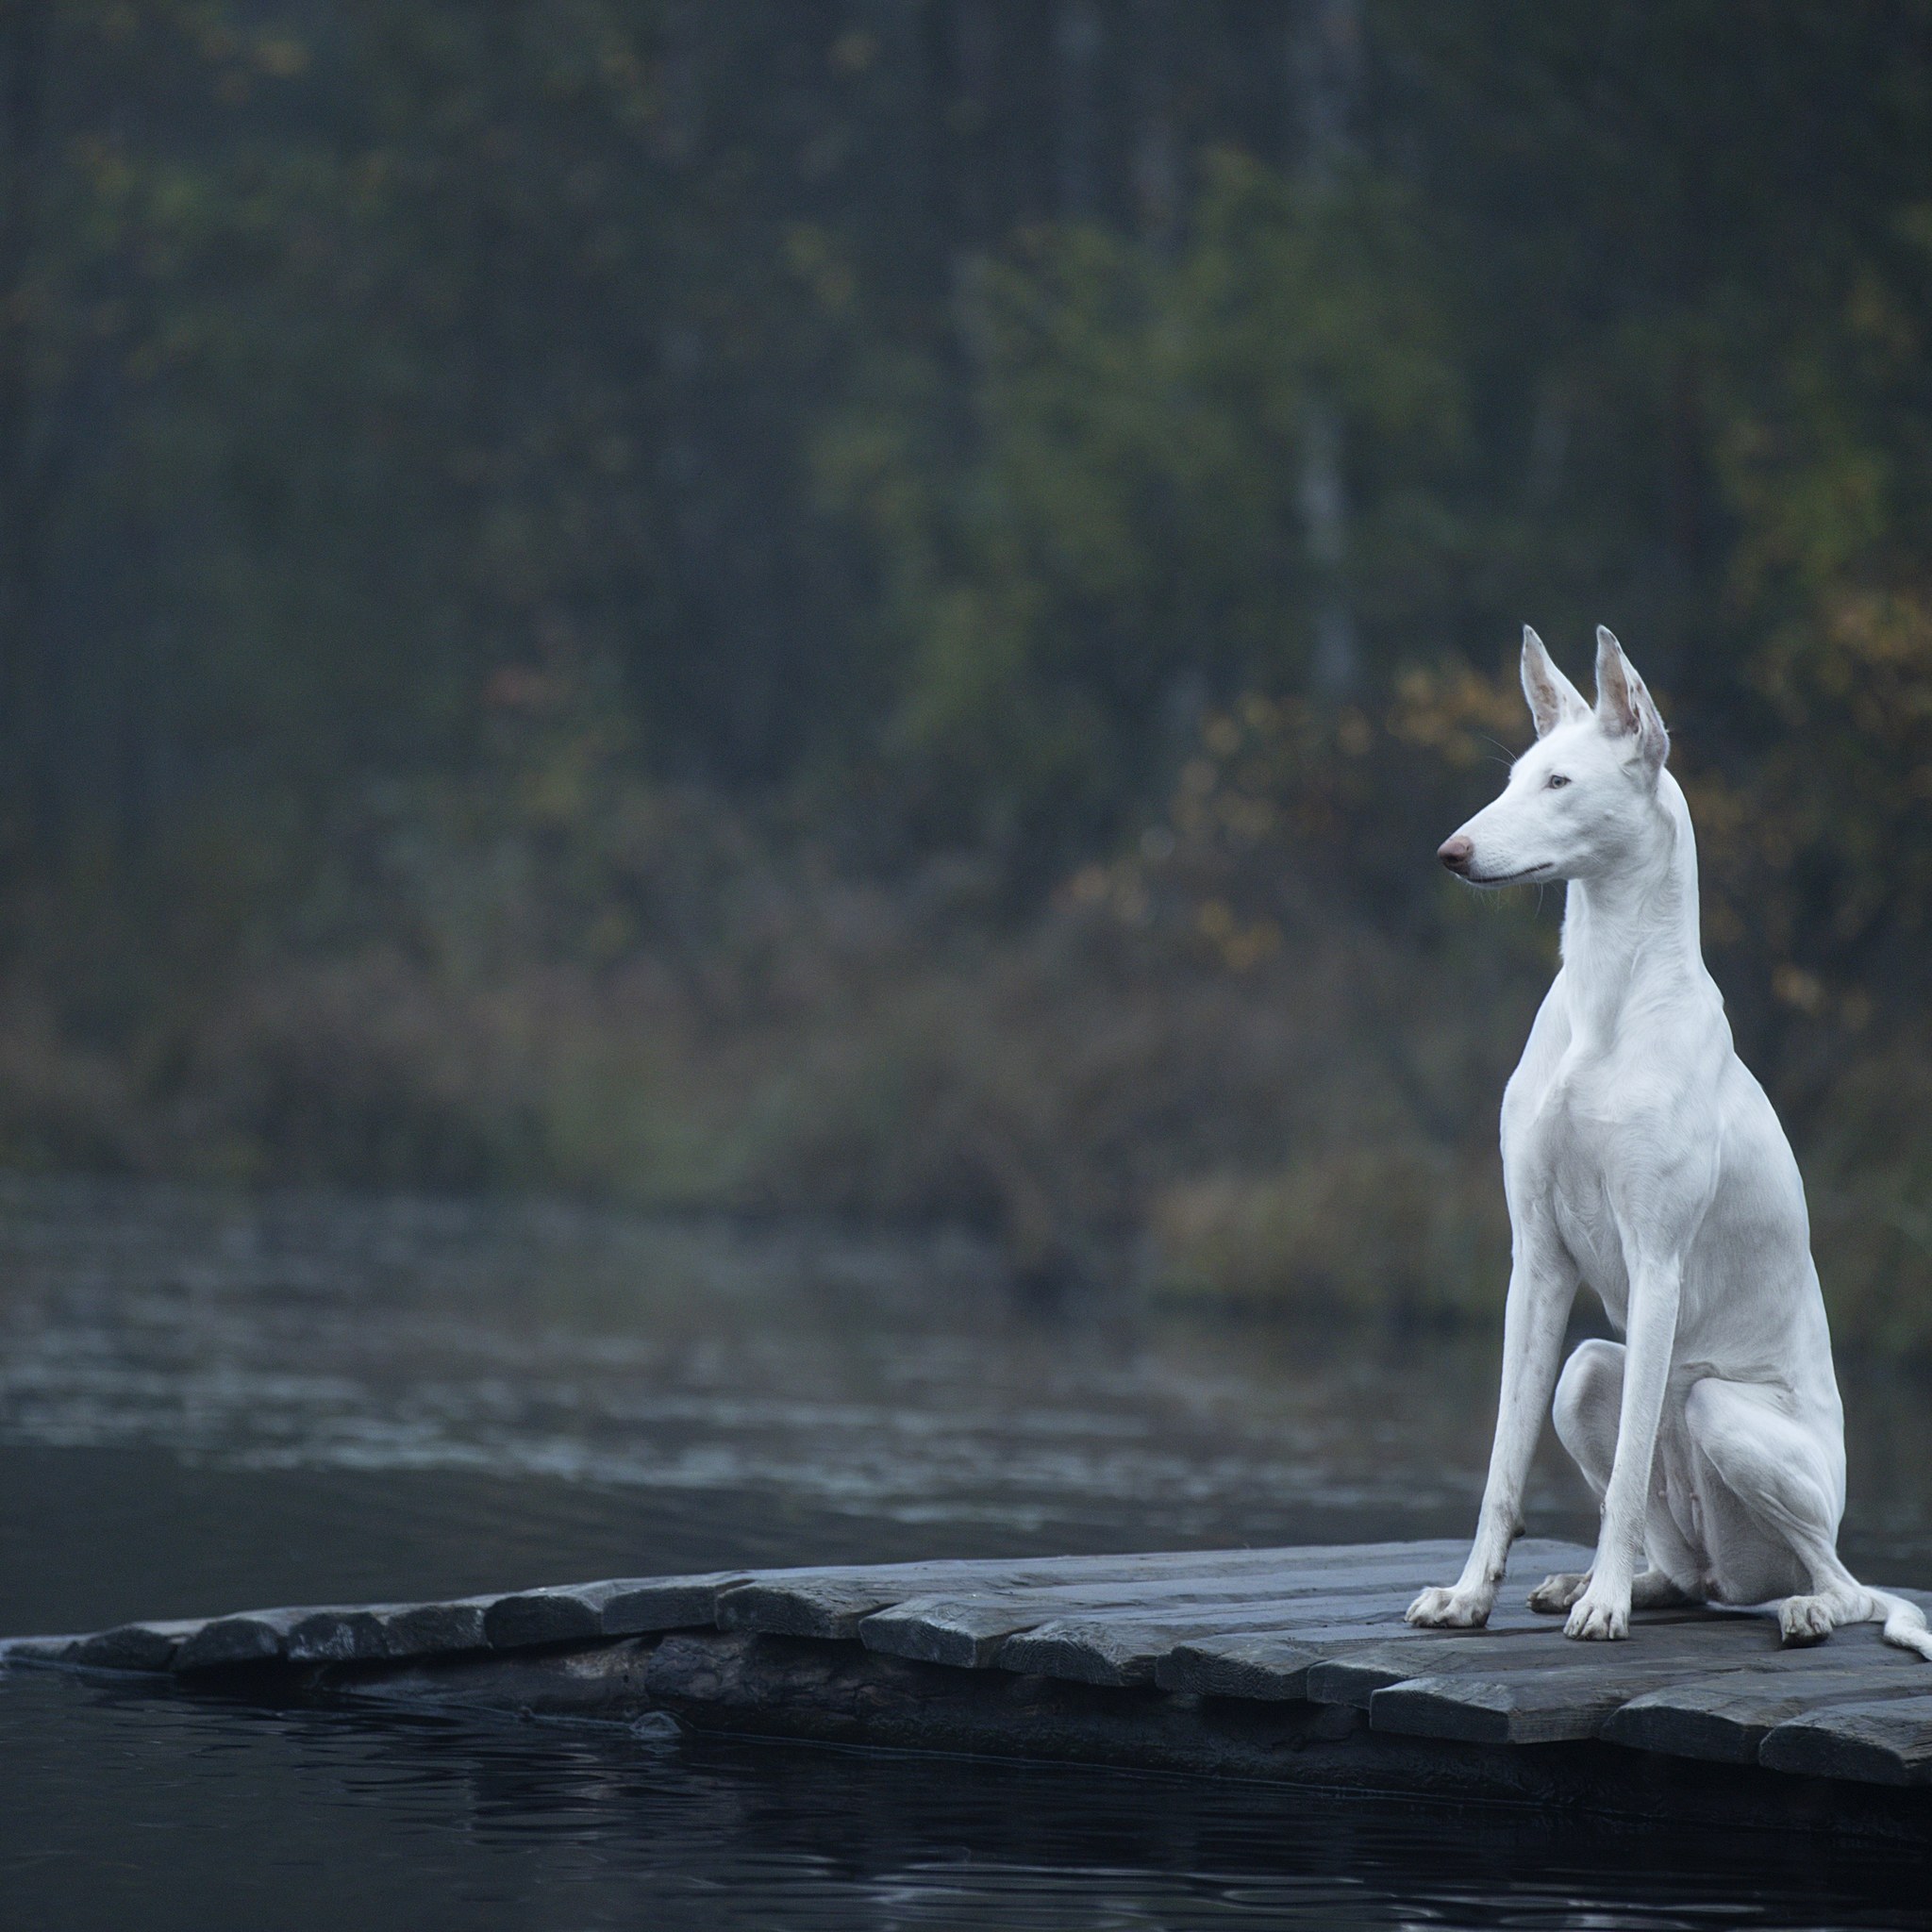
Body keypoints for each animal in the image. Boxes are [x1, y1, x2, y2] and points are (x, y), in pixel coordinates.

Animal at [1406, 625, 1932, 1654]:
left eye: (1559, 782)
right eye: (1514, 776)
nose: (1451, 852)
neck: (1604, 1002)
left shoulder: (1656, 1262)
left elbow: (1613, 1482)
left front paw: (1603, 1605)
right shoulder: (1536, 1262)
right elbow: (1500, 1464)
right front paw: (1470, 1594)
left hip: (1724, 1411)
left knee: (1843, 1581)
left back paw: (1795, 1606)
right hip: (1583, 1378)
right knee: (1693, 1574)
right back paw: (1610, 1583)